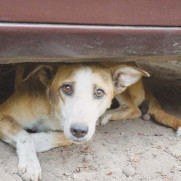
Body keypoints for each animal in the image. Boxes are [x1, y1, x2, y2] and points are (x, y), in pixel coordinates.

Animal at [0, 62, 180, 181]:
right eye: (66, 88)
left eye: (99, 92)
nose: (79, 130)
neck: (54, 113)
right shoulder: (3, 114)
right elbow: (24, 135)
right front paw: (30, 163)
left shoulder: (79, 130)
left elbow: (58, 137)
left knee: (134, 109)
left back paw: (105, 115)